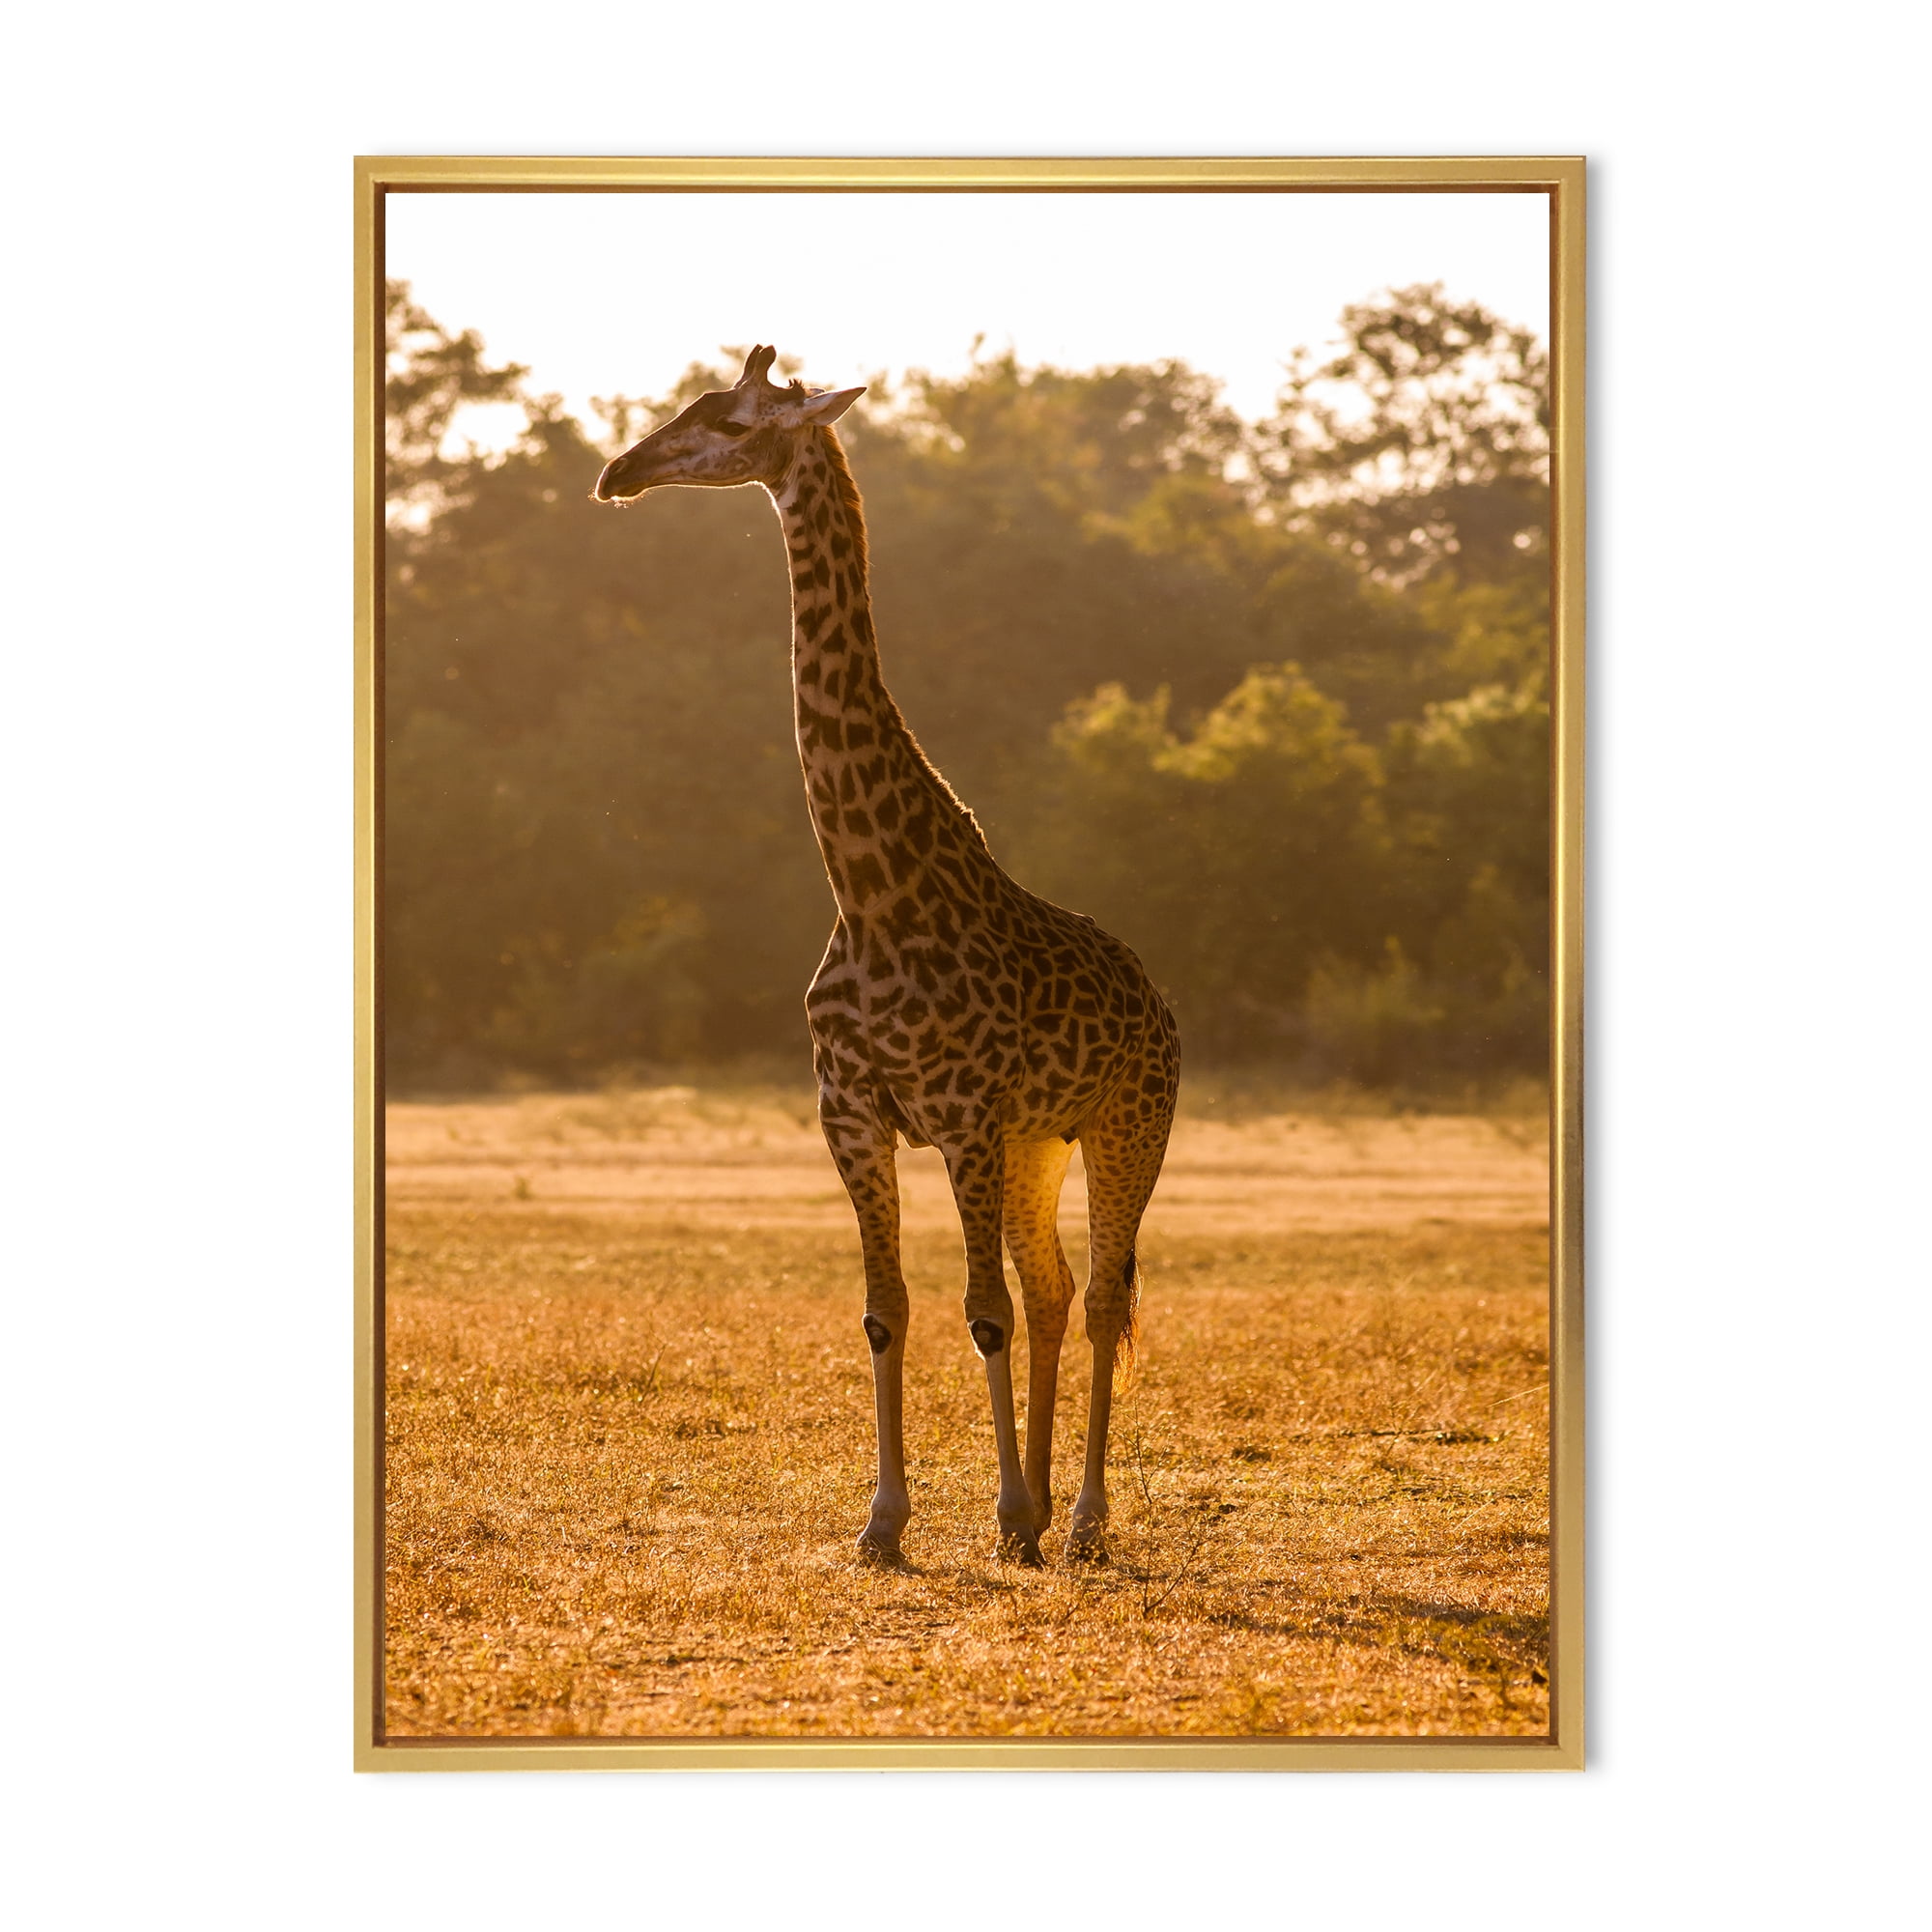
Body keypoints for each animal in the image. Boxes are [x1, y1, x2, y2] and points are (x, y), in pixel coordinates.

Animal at [594, 346, 1179, 1567]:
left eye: (729, 420)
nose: (618, 471)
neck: (868, 890)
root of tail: (1160, 1002)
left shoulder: (957, 1112)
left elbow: (976, 1312)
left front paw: (1002, 1514)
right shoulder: (854, 1111)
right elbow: (888, 1308)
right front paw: (888, 1521)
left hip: (1124, 1122)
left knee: (1100, 1295)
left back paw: (1079, 1518)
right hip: (1035, 1143)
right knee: (1052, 1288)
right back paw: (1040, 1507)